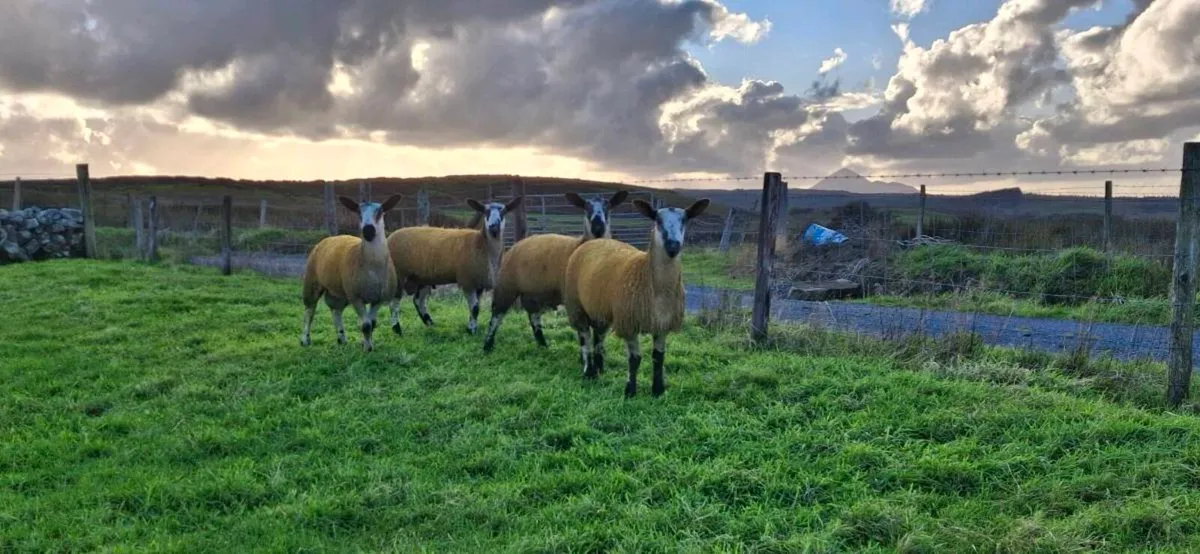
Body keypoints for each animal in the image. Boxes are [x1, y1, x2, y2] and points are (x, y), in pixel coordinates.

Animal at [301, 194, 402, 352]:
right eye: (358, 213)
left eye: (380, 212)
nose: (368, 231)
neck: (372, 267)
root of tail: (332, 237)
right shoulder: (356, 297)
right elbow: (366, 325)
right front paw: (367, 348)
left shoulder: (378, 298)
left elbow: (372, 323)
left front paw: (368, 343)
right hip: (312, 280)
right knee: (309, 310)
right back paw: (305, 340)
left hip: (340, 291)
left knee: (336, 310)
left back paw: (341, 339)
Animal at [386, 196, 523, 335]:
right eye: (485, 212)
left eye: (504, 212)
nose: (493, 226)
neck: (481, 243)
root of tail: (389, 237)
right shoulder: (467, 280)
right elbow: (475, 308)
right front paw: (472, 331)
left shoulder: (479, 282)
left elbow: (475, 307)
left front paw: (471, 327)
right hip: (399, 273)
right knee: (394, 303)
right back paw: (397, 329)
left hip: (422, 277)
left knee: (419, 300)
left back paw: (430, 324)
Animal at [482, 190, 629, 352]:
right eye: (586, 207)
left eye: (608, 206)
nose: (598, 227)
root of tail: (517, 244)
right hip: (506, 284)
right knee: (497, 314)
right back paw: (487, 345)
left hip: (533, 293)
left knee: (534, 317)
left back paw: (542, 345)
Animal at [562, 197, 710, 397]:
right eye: (658, 220)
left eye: (685, 220)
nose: (673, 246)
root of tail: (596, 241)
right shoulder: (629, 323)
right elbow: (635, 359)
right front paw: (630, 391)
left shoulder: (662, 324)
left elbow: (658, 358)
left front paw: (658, 390)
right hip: (576, 304)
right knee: (584, 338)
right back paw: (589, 372)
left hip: (599, 307)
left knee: (598, 336)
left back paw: (600, 368)